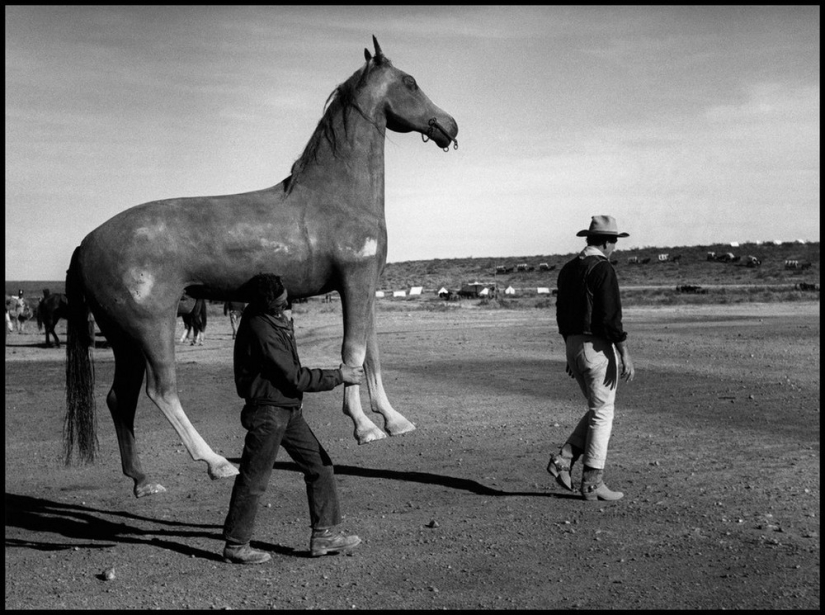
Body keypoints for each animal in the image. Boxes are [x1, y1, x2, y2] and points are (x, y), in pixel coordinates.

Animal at [66, 38, 458, 498]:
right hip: (151, 329)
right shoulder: (353, 282)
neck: (337, 195)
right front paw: (365, 427)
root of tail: (87, 243)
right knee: (161, 393)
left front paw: (394, 420)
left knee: (119, 400)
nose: (450, 126)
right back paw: (216, 463)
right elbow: (353, 353)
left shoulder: (362, 290)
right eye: (410, 82)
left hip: (124, 340)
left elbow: (371, 353)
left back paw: (144, 482)